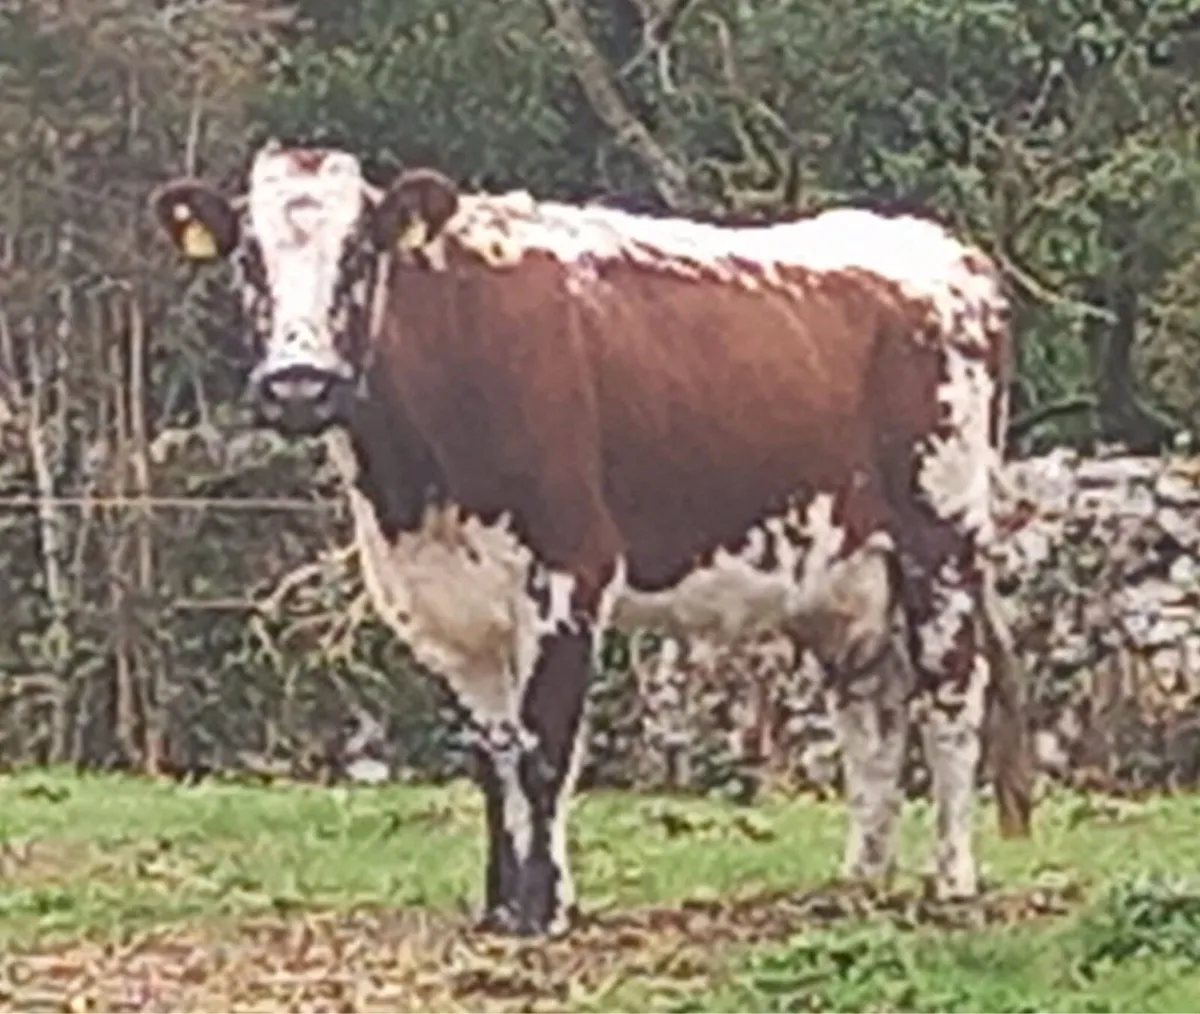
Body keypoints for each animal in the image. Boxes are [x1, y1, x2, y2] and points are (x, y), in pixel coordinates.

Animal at [149, 141, 1033, 937]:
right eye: (249, 257)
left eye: (361, 250)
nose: (299, 385)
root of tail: (941, 250)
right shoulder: (445, 609)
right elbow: (493, 757)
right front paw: (501, 907)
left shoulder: (568, 572)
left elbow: (544, 750)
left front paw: (546, 912)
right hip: (844, 580)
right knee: (870, 721)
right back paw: (857, 882)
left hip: (941, 544)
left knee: (951, 700)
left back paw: (953, 882)